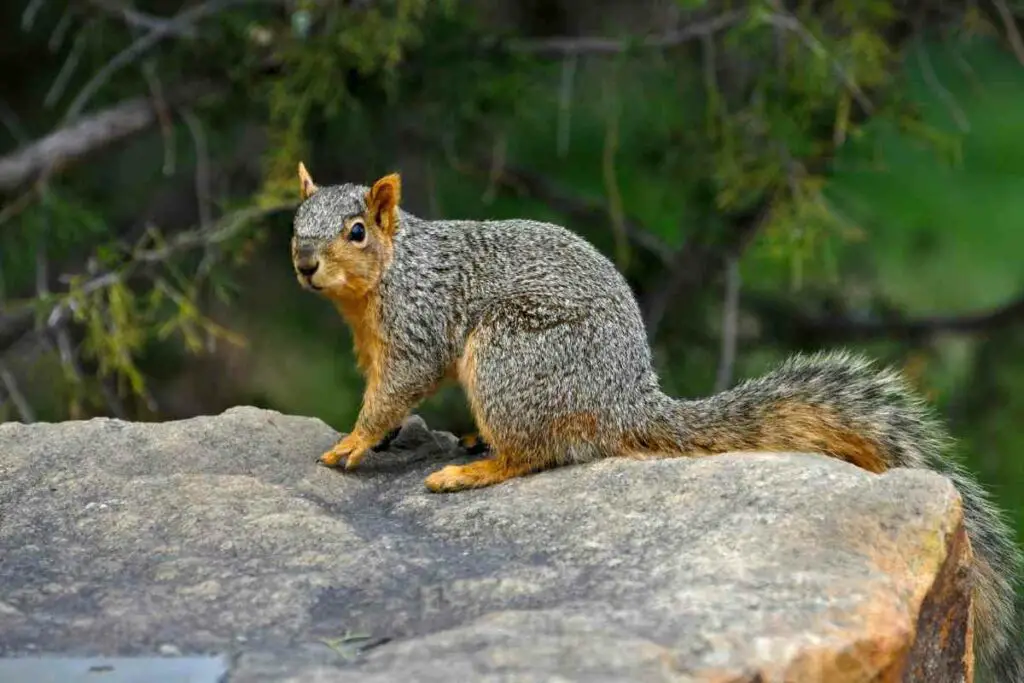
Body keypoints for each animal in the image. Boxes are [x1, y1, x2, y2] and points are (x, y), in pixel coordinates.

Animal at [288, 163, 1024, 679]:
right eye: (294, 221)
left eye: (357, 231)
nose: (304, 263)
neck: (386, 277)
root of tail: (626, 399)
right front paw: (377, 436)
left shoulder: (417, 329)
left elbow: (395, 390)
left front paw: (353, 441)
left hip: (509, 357)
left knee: (536, 453)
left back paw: (472, 468)